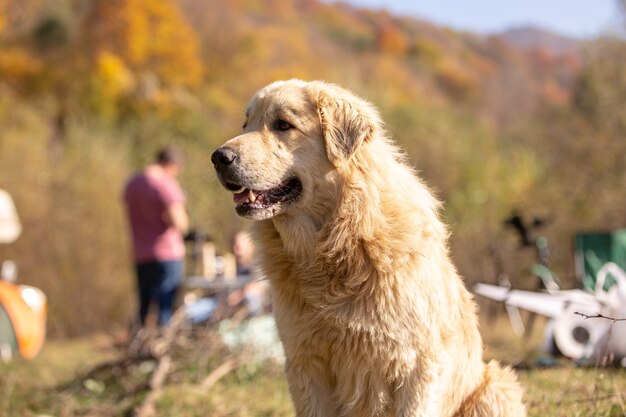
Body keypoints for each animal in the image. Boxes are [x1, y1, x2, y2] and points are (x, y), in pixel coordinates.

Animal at [212, 79, 524, 416]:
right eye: (246, 124)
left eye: (283, 125)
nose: (218, 157)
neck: (339, 242)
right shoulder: (305, 364)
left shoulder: (418, 367)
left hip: (497, 389)